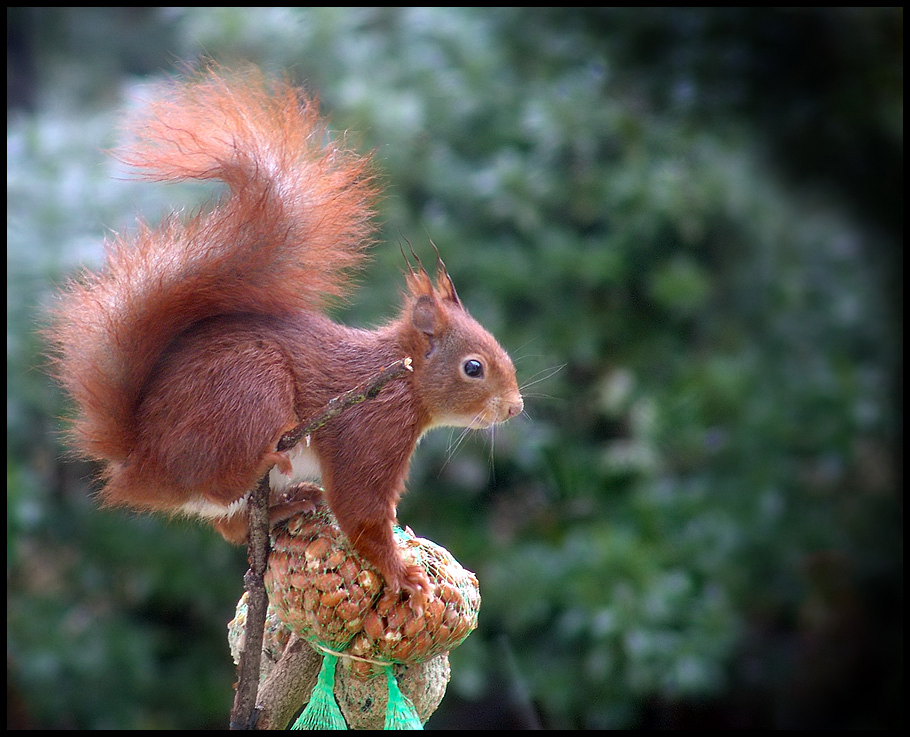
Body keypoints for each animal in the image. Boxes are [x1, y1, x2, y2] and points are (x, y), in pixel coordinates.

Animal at [46, 67, 524, 604]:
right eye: (473, 367)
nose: (515, 408)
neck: (405, 382)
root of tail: (141, 461)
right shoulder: (370, 428)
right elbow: (360, 507)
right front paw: (402, 573)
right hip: (251, 386)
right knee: (220, 487)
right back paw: (263, 461)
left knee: (230, 525)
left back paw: (288, 505)